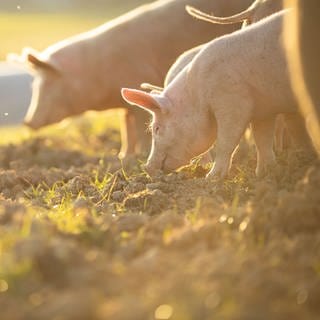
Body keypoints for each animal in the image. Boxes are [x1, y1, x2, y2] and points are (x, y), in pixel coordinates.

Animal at [11, 0, 252, 159]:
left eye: (47, 83)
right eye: (34, 84)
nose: (27, 122)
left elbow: (139, 128)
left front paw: (138, 155)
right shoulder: (125, 105)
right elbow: (126, 128)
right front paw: (122, 158)